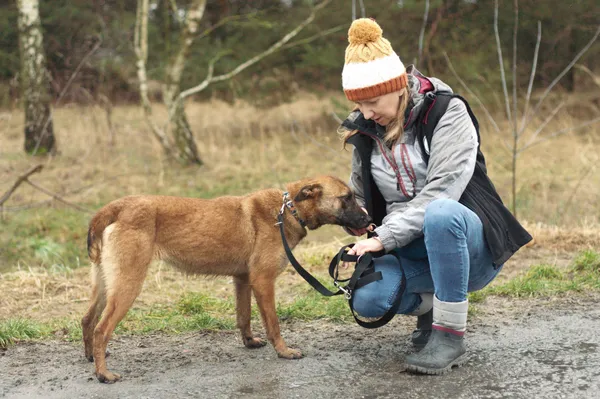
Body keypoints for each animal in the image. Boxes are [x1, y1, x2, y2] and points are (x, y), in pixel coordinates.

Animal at [79, 177, 370, 382]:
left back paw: (92, 357)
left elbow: (244, 317)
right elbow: (273, 324)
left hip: (105, 284)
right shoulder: (263, 281)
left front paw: (249, 342)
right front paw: (284, 351)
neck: (288, 210)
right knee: (101, 329)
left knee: (87, 320)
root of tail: (114, 207)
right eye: (346, 198)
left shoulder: (243, 280)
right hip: (128, 285)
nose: (368, 219)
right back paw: (104, 374)